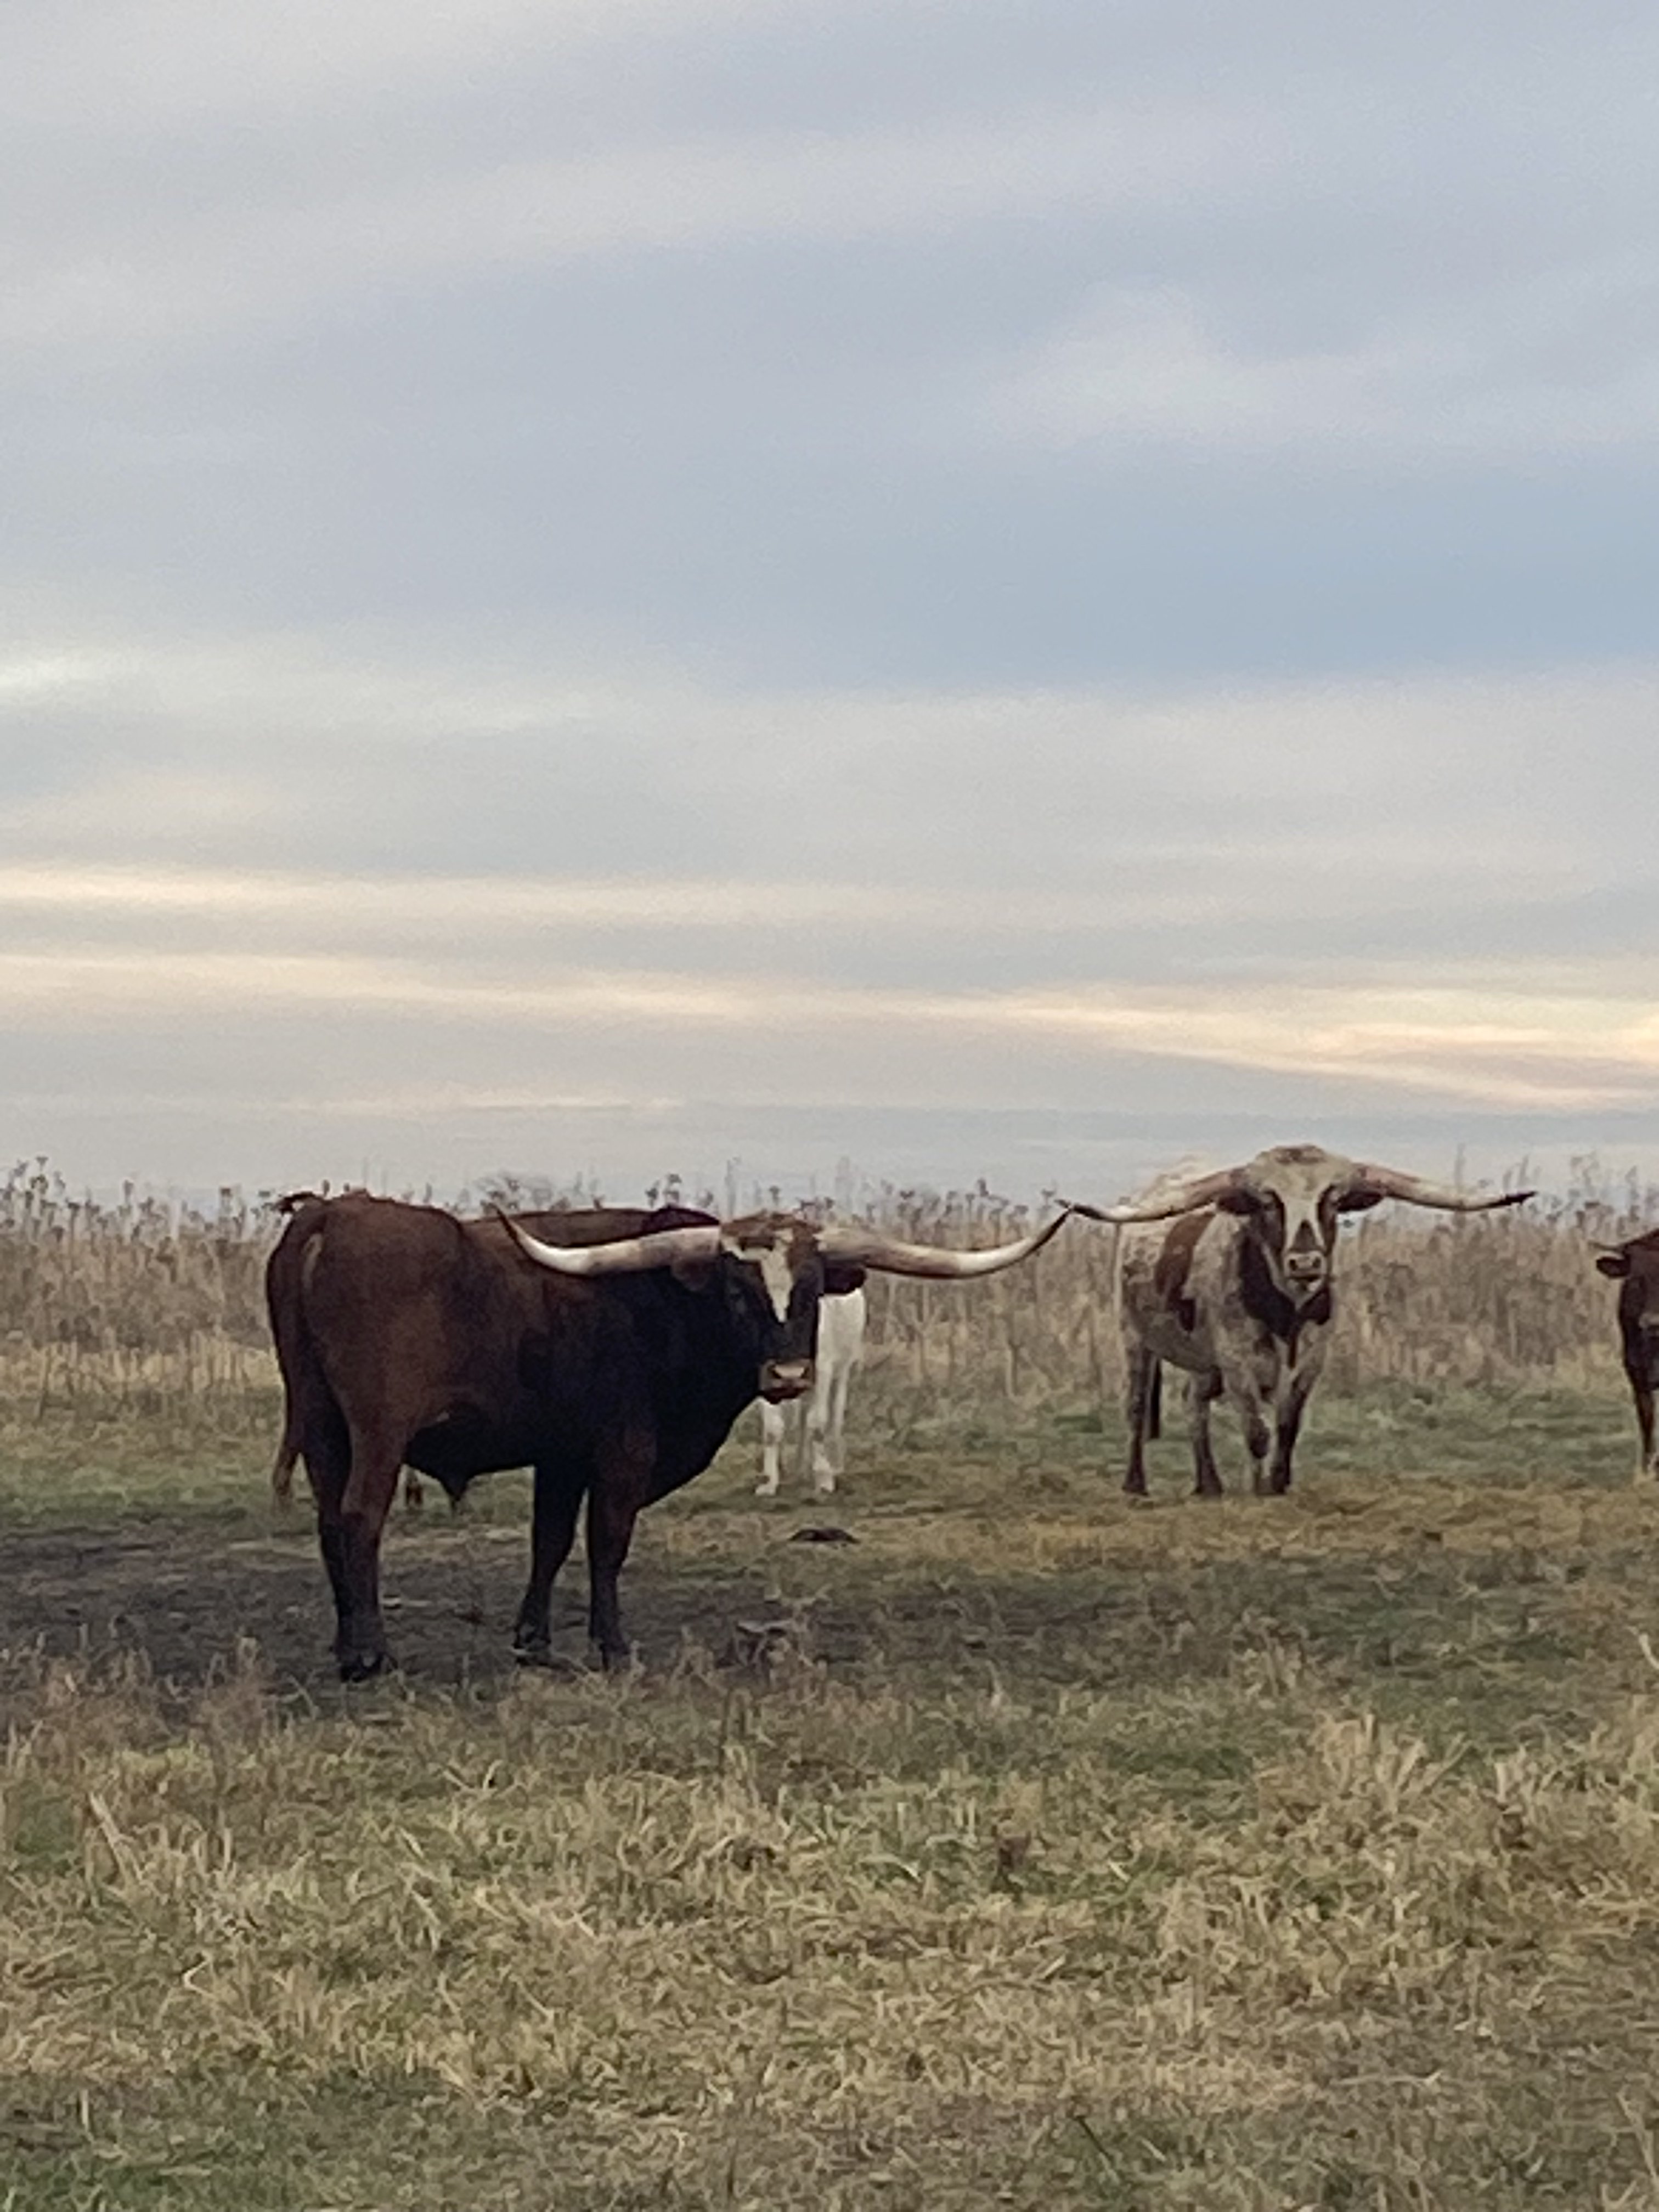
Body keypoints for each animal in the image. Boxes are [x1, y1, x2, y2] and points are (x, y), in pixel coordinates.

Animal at [755, 1285, 867, 1497]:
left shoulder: (823, 1368)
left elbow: (817, 1424)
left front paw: (824, 1479)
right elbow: (773, 1429)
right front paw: (769, 1482)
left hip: (843, 1370)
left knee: (834, 1418)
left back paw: (835, 1466)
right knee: (803, 1420)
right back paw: (800, 1470)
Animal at [1071, 1145, 1532, 1498]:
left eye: (1332, 1199)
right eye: (1268, 1202)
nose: (1306, 1262)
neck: (1285, 1313)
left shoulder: (1310, 1359)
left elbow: (1287, 1424)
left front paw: (1279, 1484)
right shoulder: (1237, 1361)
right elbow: (1257, 1431)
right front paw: (1258, 1488)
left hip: (1204, 1361)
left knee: (1193, 1403)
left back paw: (1209, 1485)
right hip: (1135, 1337)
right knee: (1135, 1407)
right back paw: (1135, 1484)